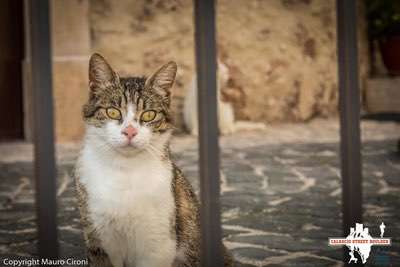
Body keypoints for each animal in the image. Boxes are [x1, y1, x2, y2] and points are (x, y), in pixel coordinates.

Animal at [74, 52, 234, 267]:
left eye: (149, 114)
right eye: (113, 112)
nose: (130, 132)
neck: (126, 171)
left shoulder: (158, 244)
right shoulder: (100, 240)